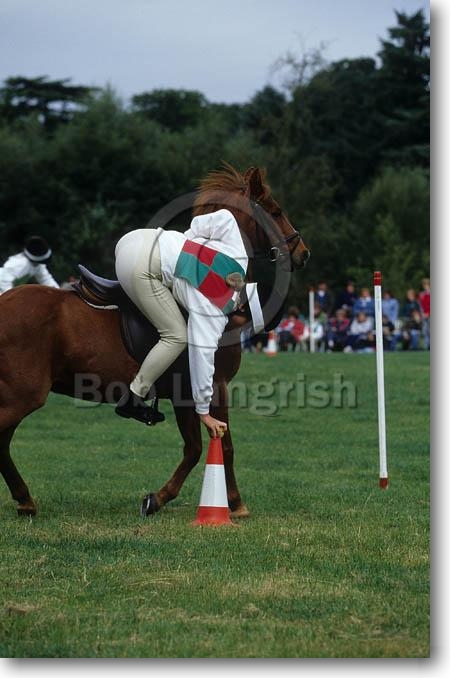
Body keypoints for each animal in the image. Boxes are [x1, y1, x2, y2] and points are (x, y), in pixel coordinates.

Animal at [0, 164, 310, 518]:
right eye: (276, 211)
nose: (303, 253)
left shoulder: (183, 394)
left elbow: (194, 447)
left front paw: (159, 498)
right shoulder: (214, 384)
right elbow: (222, 444)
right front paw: (235, 503)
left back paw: (25, 499)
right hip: (24, 394)